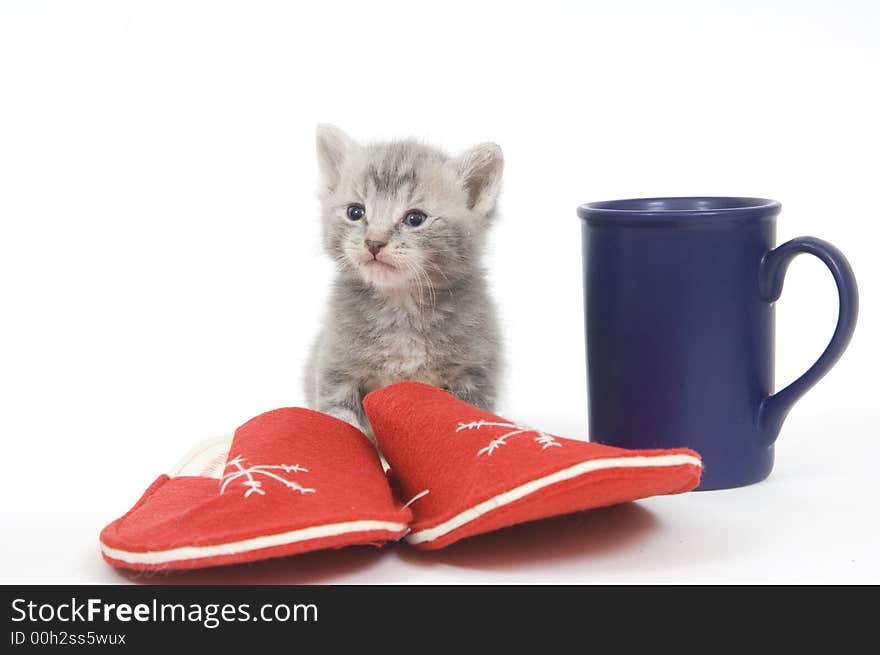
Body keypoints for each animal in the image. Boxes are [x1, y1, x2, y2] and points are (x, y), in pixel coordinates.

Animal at [306, 125, 506, 438]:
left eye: (415, 218)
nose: (373, 242)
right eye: (355, 212)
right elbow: (341, 417)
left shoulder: (475, 372)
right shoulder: (335, 366)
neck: (400, 305)